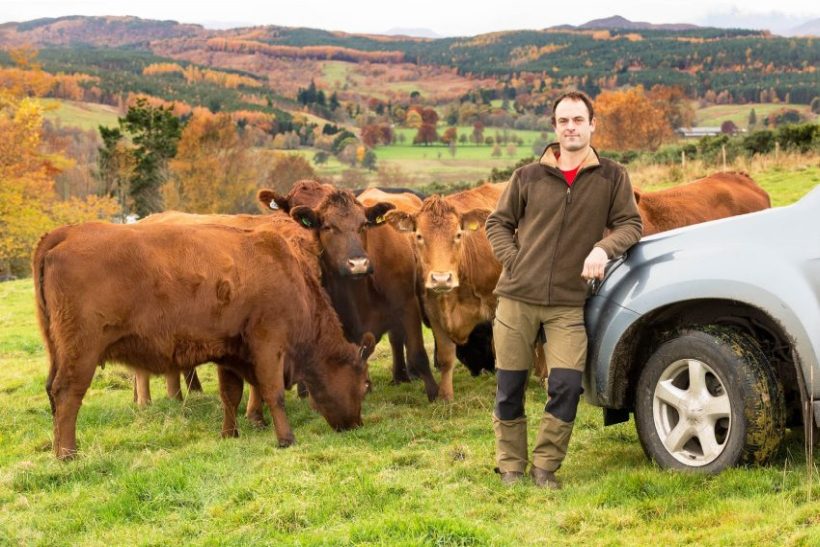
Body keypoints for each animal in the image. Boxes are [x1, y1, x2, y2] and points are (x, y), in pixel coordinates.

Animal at [33, 220, 374, 460]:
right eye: (363, 385)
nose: (356, 425)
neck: (289, 275)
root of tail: (65, 233)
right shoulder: (269, 344)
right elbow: (273, 392)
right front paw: (286, 439)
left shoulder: (230, 352)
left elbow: (230, 394)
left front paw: (229, 433)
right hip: (82, 352)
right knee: (68, 394)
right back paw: (68, 454)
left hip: (57, 351)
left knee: (52, 391)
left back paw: (57, 449)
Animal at [262, 182, 442, 400]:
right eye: (327, 226)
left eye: (363, 224)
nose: (358, 264)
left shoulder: (407, 305)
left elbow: (418, 353)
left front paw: (435, 394)